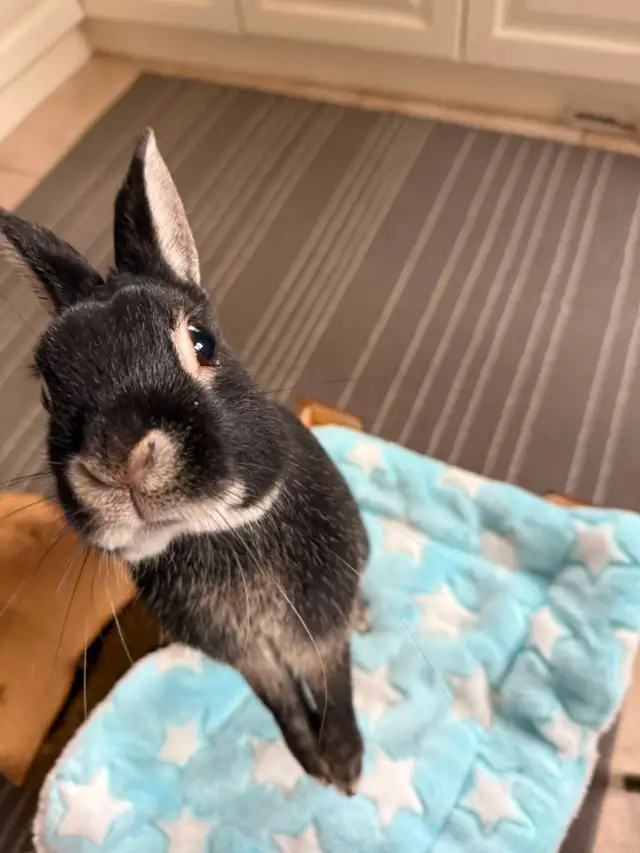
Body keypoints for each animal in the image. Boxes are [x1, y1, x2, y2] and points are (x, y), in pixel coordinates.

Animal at [0, 128, 370, 795]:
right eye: (46, 392)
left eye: (203, 343)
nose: (118, 459)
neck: (215, 534)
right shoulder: (250, 658)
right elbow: (282, 705)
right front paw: (311, 763)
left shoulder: (319, 635)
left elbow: (336, 687)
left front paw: (347, 768)